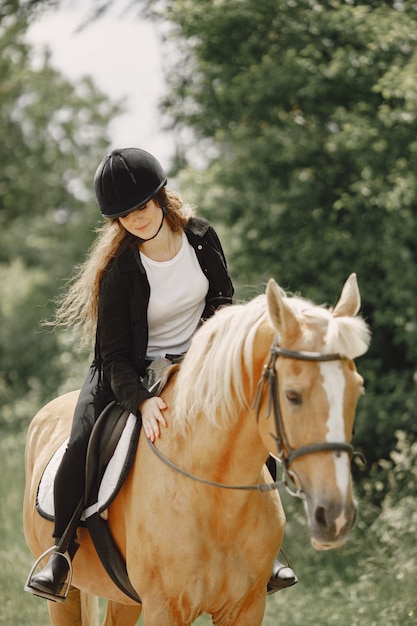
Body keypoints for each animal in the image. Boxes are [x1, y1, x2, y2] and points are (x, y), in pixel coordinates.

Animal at [22, 274, 368, 624]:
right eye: (293, 395)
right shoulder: (164, 608)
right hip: (67, 596)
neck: (215, 499)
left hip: (125, 599)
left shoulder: (246, 607)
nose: (336, 516)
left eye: (358, 389)